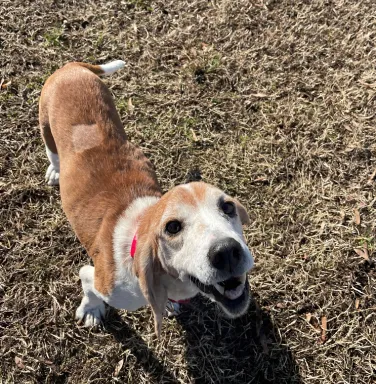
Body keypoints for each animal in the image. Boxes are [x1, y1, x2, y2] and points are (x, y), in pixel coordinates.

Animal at [38, 60, 254, 336]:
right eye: (172, 227)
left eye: (227, 207)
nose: (226, 252)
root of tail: (71, 67)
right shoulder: (98, 279)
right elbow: (89, 288)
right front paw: (91, 310)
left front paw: (170, 304)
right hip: (45, 125)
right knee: (52, 152)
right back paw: (55, 170)